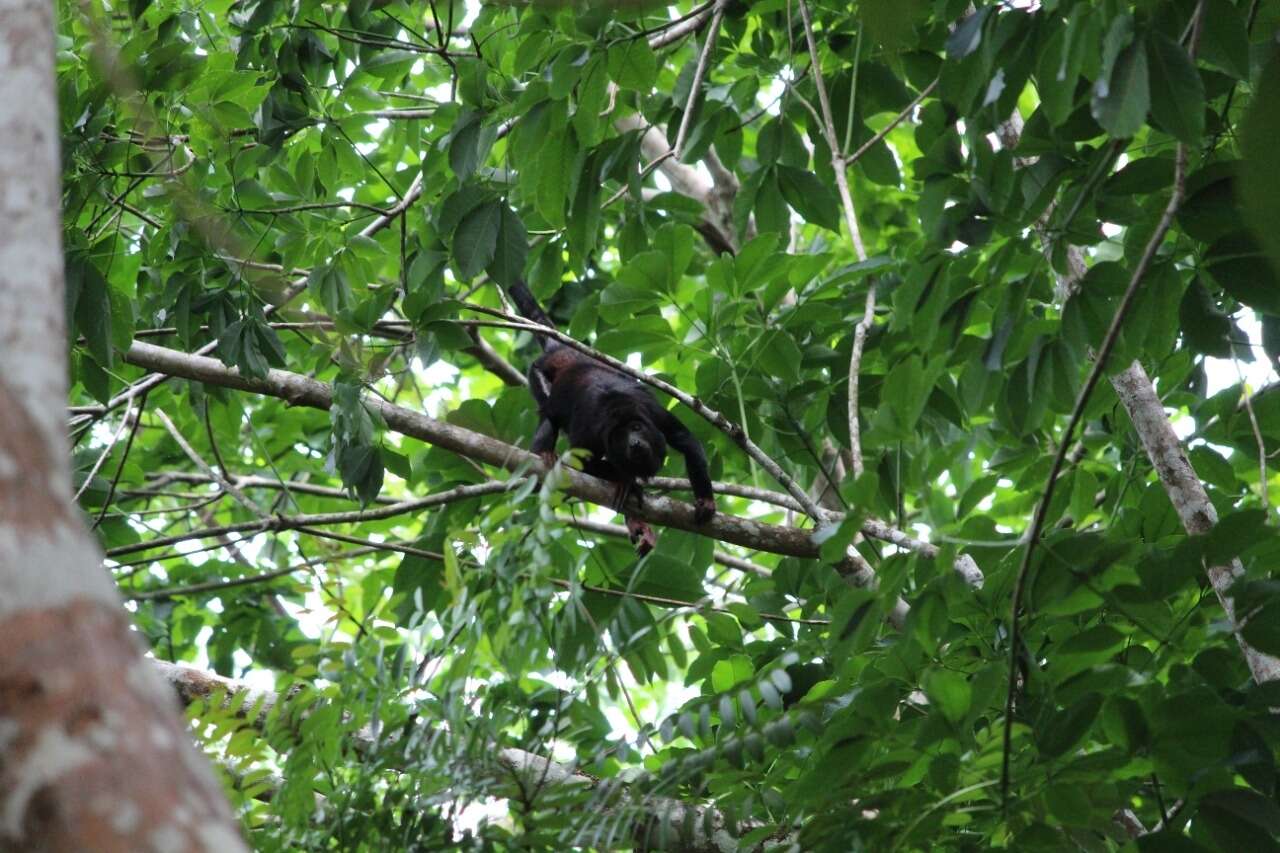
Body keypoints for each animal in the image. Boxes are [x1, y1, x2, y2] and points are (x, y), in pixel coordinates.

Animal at [504, 281, 716, 555]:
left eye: (636, 427)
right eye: (621, 436)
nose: (634, 443)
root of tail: (561, 349)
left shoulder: (652, 412)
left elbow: (685, 440)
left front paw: (706, 501)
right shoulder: (592, 433)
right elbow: (579, 464)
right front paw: (626, 480)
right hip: (537, 371)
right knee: (548, 414)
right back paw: (544, 453)